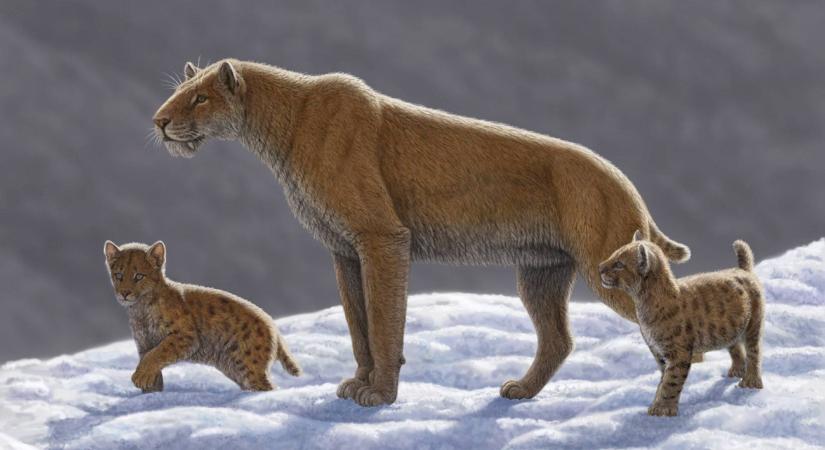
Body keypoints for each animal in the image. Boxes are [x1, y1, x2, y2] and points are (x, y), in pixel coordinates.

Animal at [150, 59, 688, 408]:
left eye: (199, 97)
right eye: (178, 92)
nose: (159, 121)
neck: (280, 130)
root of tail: (623, 181)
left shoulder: (382, 238)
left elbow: (384, 321)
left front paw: (380, 395)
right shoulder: (344, 250)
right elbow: (358, 325)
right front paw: (357, 384)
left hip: (608, 270)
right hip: (541, 272)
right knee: (558, 338)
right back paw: (520, 392)